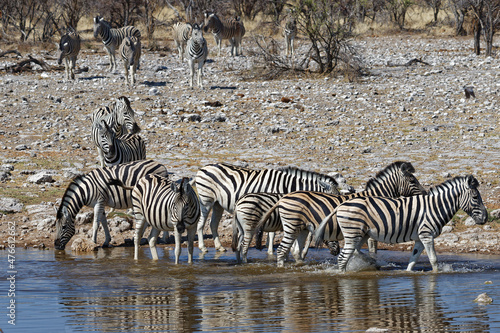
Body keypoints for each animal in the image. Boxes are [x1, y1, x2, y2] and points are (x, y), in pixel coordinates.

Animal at [195, 161, 344, 252]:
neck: (286, 186)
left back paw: (219, 247)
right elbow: (272, 233)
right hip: (206, 200)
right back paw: (202, 248)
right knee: (201, 223)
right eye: (333, 199)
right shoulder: (273, 203)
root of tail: (204, 167)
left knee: (213, 224)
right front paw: (271, 251)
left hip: (217, 204)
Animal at [258, 160, 426, 266]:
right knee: (282, 250)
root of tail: (283, 197)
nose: (425, 193)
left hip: (302, 228)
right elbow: (372, 250)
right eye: (412, 180)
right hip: (292, 226)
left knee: (294, 251)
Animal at [336, 175, 488, 272]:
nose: (486, 218)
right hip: (352, 233)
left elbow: (413, 260)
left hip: (362, 234)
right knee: (343, 257)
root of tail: (342, 205)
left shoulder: (420, 238)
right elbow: (433, 259)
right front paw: (436, 274)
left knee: (354, 252)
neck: (435, 208)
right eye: (475, 197)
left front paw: (408, 273)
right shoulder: (427, 235)